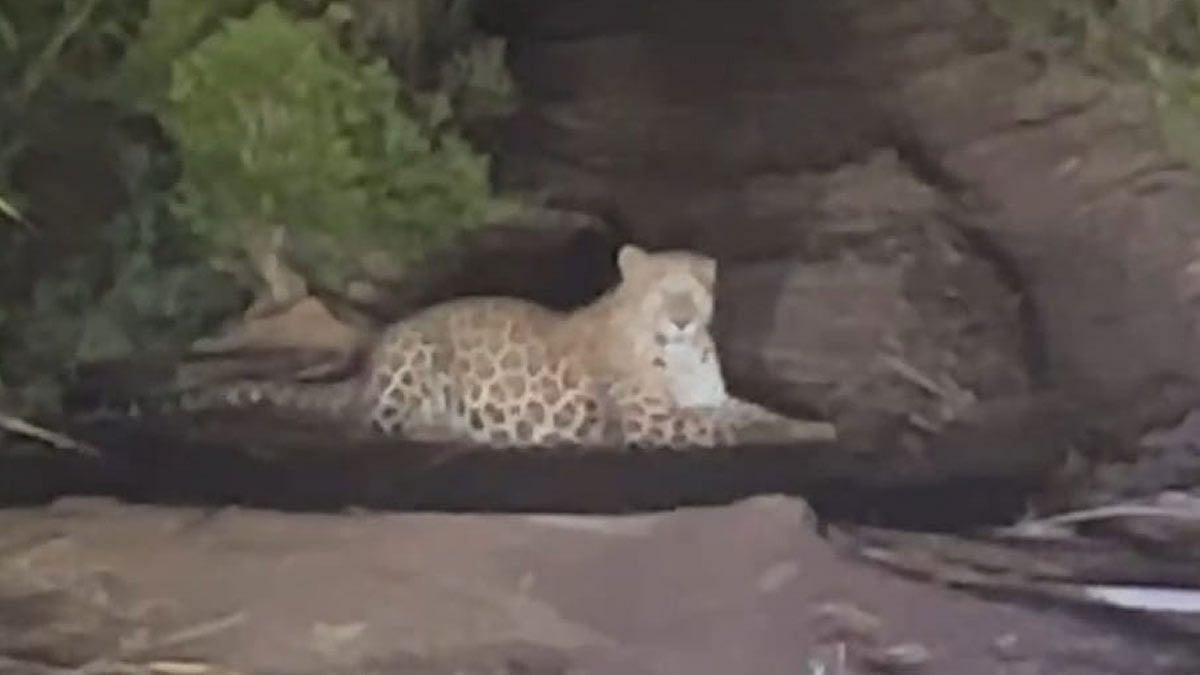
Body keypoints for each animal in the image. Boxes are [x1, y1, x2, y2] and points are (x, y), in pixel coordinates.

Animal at [158, 244, 836, 449]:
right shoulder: (651, 418)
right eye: (656, 293)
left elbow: (756, 411)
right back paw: (444, 430)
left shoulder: (712, 396)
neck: (685, 358)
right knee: (376, 425)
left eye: (693, 292)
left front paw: (815, 425)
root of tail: (370, 362)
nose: (680, 320)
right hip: (414, 360)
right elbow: (729, 428)